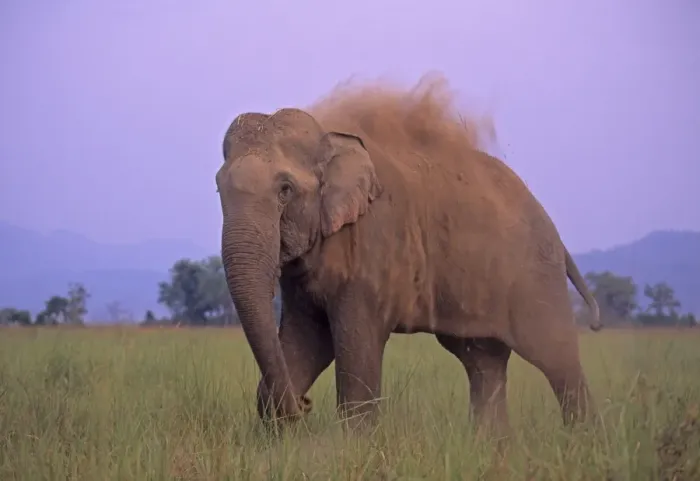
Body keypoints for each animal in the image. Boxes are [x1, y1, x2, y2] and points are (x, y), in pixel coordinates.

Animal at [215, 79, 602, 434]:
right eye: (218, 188)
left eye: (285, 190)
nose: (305, 405)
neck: (331, 139)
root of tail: (553, 229)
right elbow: (305, 339)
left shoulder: (373, 247)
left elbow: (355, 349)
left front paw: (354, 447)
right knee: (483, 360)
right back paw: (491, 444)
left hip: (535, 274)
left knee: (556, 358)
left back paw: (582, 440)